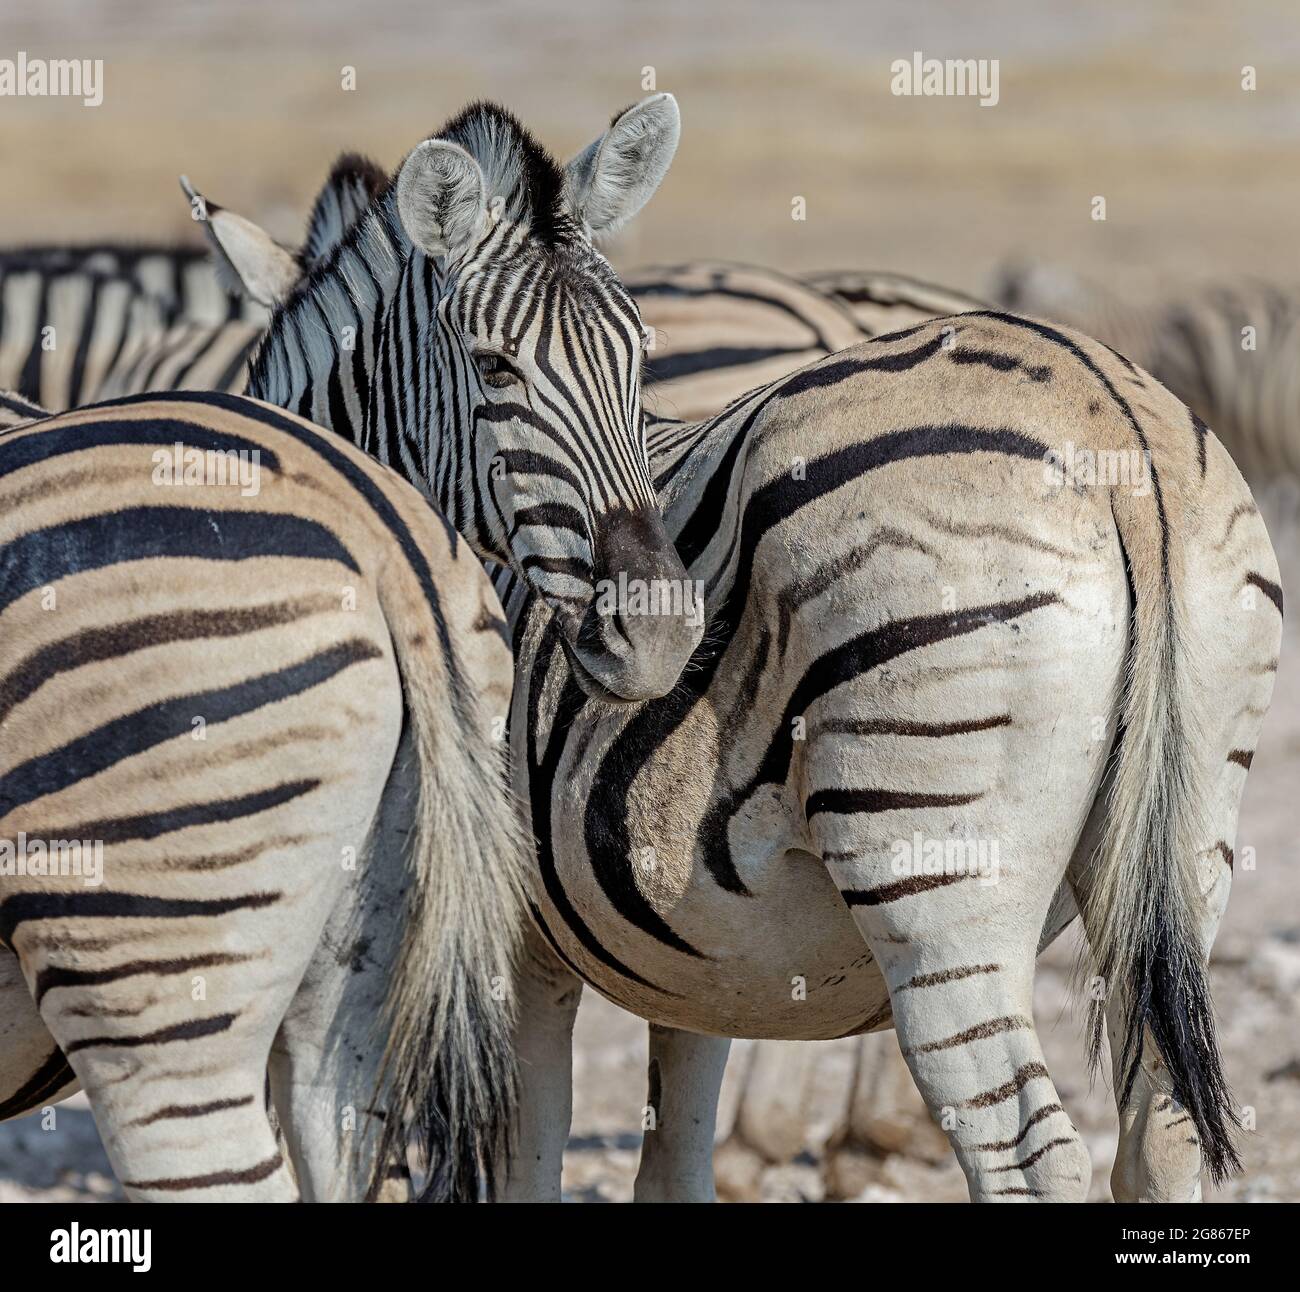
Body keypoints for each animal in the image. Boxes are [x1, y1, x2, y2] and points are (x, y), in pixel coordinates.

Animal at [180, 110, 1279, 1201]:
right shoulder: (693, 955)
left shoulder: (490, 951)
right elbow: (672, 1159)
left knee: (1029, 1152)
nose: (664, 632)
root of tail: (1106, 414)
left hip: (929, 863)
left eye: (638, 360)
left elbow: (502, 1158)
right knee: (1161, 1136)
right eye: (493, 368)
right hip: (1188, 847)